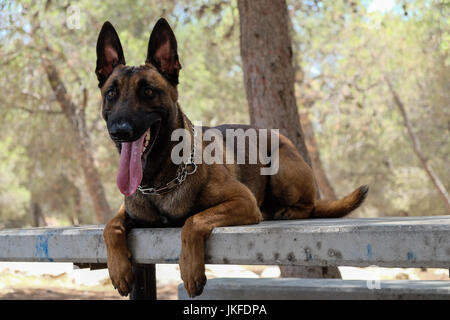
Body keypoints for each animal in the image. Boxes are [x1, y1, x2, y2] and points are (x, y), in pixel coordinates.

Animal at [96, 17, 368, 298]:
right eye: (111, 94)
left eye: (148, 91)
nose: (120, 130)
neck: (159, 180)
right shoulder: (125, 211)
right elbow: (110, 226)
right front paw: (119, 270)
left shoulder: (243, 201)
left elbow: (193, 221)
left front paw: (190, 269)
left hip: (280, 168)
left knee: (308, 206)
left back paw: (286, 211)